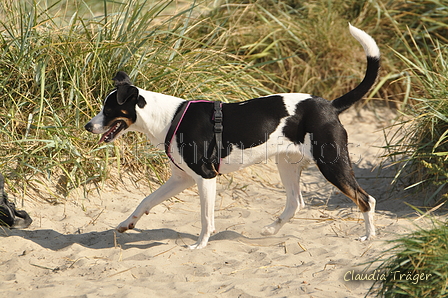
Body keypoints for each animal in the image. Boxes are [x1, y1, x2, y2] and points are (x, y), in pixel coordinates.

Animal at [86, 23, 380, 249]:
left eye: (108, 109)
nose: (88, 126)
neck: (168, 118)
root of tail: (330, 105)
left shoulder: (205, 177)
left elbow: (206, 218)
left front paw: (200, 245)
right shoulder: (181, 179)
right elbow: (146, 200)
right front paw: (127, 224)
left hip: (331, 164)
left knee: (365, 199)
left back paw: (368, 237)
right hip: (287, 164)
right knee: (296, 203)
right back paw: (270, 230)